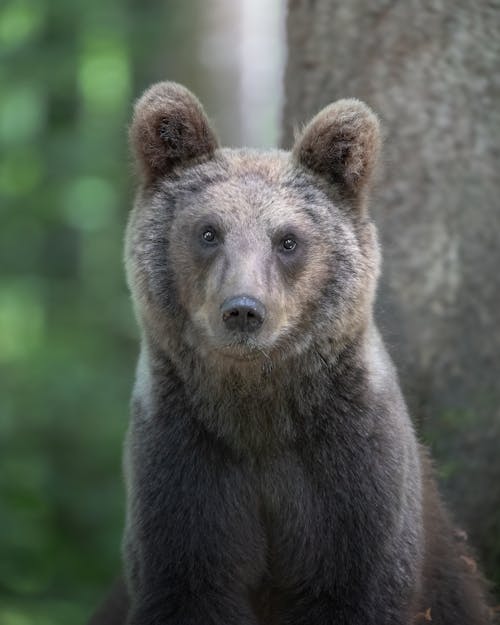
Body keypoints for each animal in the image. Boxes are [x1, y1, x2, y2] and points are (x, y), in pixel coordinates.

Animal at [90, 83, 492, 624]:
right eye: (208, 231)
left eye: (288, 240)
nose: (243, 310)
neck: (259, 409)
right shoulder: (184, 467)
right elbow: (190, 583)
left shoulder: (351, 475)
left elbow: (356, 585)